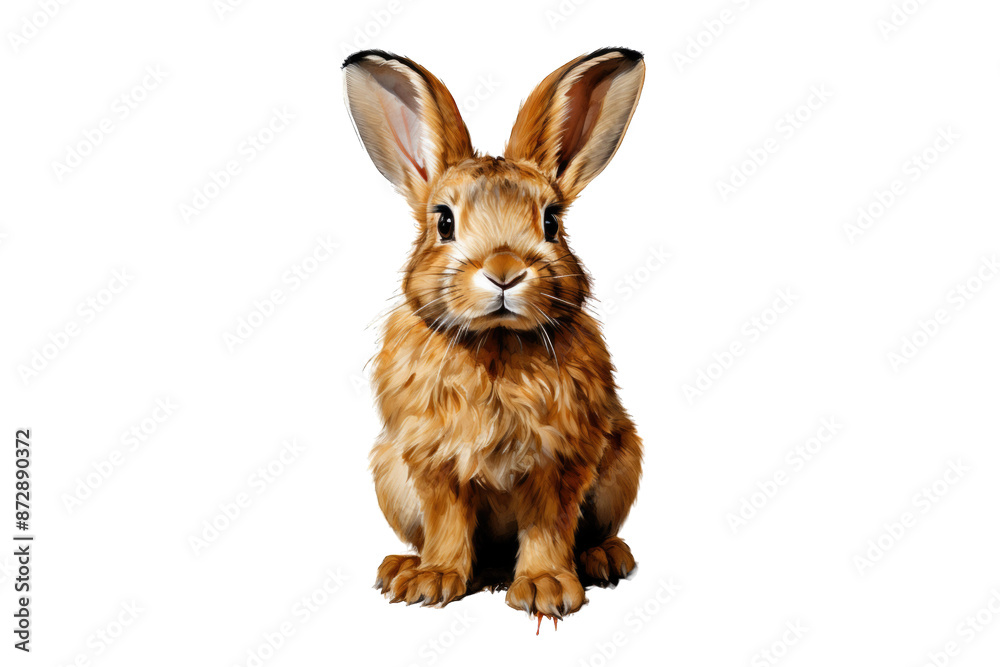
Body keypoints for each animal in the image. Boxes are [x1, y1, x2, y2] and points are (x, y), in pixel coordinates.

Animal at [343, 47, 645, 620]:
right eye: (443, 221)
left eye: (551, 223)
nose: (504, 270)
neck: (495, 344)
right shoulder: (432, 462)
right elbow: (446, 521)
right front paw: (433, 581)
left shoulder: (560, 460)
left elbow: (548, 524)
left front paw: (546, 588)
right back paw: (403, 568)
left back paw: (604, 558)